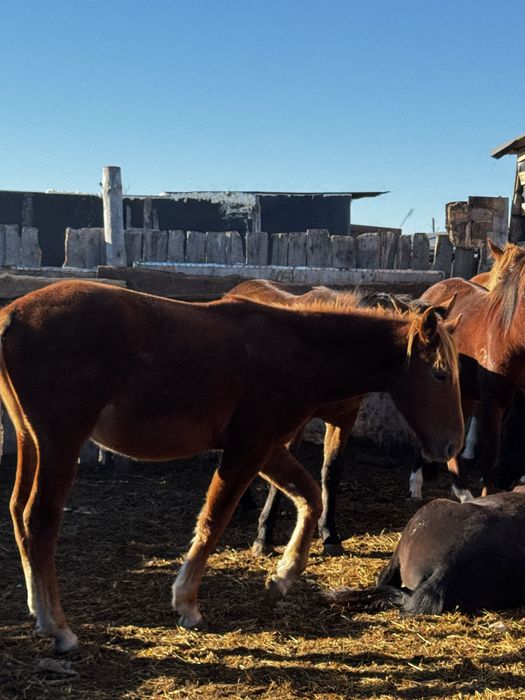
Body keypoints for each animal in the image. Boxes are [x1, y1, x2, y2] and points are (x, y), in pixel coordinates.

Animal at [224, 280, 465, 556]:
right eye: (439, 373)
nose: (452, 444)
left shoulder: (344, 418)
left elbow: (331, 471)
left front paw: (329, 534)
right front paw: (264, 538)